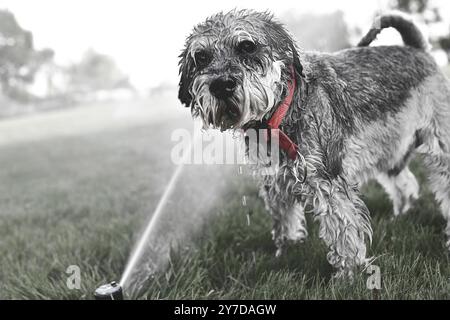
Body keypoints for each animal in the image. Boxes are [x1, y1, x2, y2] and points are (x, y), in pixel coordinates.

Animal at [178, 10, 450, 278]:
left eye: (247, 46)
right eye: (201, 57)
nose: (220, 85)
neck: (282, 111)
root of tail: (417, 49)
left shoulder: (328, 181)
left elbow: (343, 230)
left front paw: (348, 274)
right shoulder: (275, 182)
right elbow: (284, 220)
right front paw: (285, 252)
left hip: (439, 144)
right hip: (390, 149)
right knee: (405, 182)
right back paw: (401, 213)